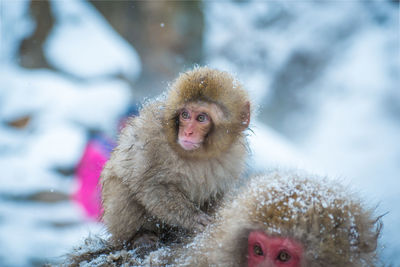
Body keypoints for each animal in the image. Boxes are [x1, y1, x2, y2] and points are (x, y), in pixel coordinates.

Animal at [101, 67, 250, 249]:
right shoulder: (153, 140)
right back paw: (137, 236)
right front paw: (193, 218)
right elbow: (151, 186)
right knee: (121, 187)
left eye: (201, 118)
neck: (200, 155)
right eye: (185, 115)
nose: (187, 132)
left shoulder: (235, 156)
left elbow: (217, 194)